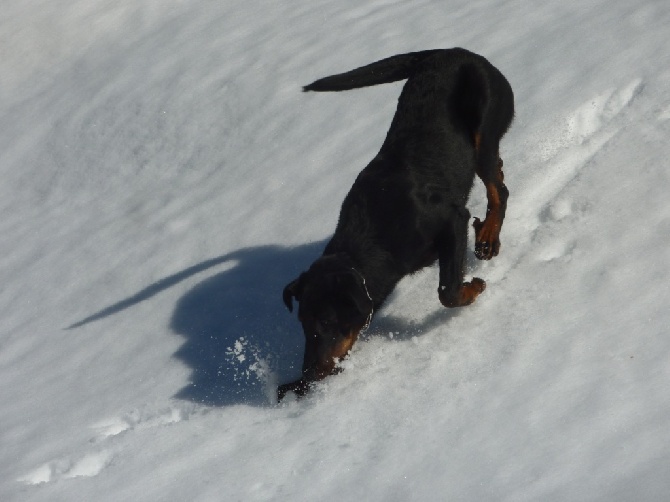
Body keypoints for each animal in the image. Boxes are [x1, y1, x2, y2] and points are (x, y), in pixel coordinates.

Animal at [278, 48, 516, 400]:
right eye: (304, 326)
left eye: (328, 323)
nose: (308, 374)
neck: (369, 244)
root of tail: (452, 51)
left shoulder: (451, 220)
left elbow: (447, 291)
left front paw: (473, 288)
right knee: (498, 174)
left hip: (484, 125)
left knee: (498, 188)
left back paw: (487, 236)